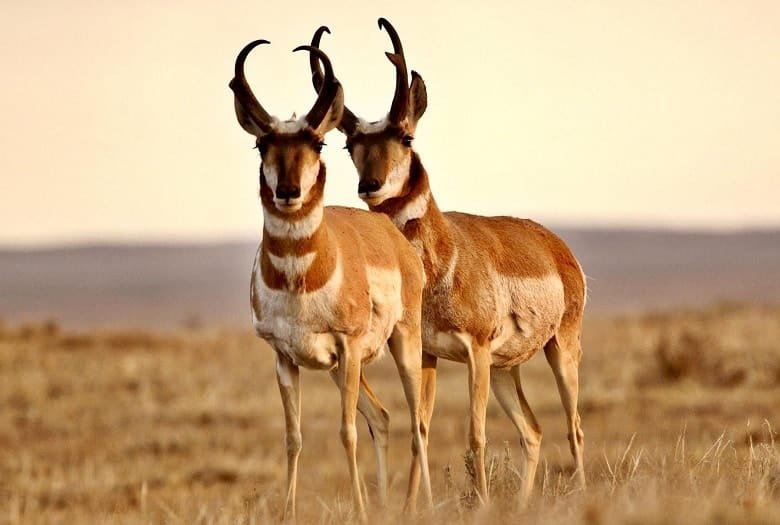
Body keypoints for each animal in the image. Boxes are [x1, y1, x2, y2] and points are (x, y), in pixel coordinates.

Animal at [230, 37, 432, 520]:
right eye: (261, 144)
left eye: (319, 143)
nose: (287, 192)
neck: (299, 280)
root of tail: (389, 233)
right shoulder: (284, 358)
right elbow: (294, 438)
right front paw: (287, 514)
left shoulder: (348, 346)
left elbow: (346, 432)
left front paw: (358, 511)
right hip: (342, 370)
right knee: (382, 417)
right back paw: (385, 505)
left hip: (400, 345)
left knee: (416, 422)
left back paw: (427, 506)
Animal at [310, 21, 584, 508]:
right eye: (349, 145)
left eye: (405, 137)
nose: (370, 185)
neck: (443, 261)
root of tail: (554, 244)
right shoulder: (429, 354)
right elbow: (420, 429)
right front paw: (410, 508)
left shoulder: (475, 351)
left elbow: (475, 436)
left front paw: (480, 506)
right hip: (505, 370)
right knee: (532, 431)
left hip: (560, 349)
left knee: (574, 429)